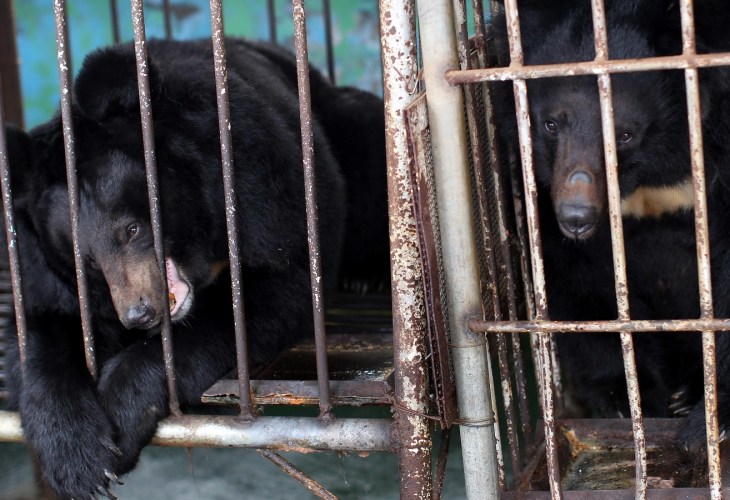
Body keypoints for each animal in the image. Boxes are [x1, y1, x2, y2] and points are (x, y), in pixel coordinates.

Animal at [2, 39, 386, 500]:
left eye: (131, 229)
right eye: (89, 262)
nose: (139, 314)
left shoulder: (258, 177)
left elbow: (275, 290)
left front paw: (120, 416)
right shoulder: (41, 265)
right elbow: (43, 325)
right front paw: (80, 462)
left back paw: (366, 276)